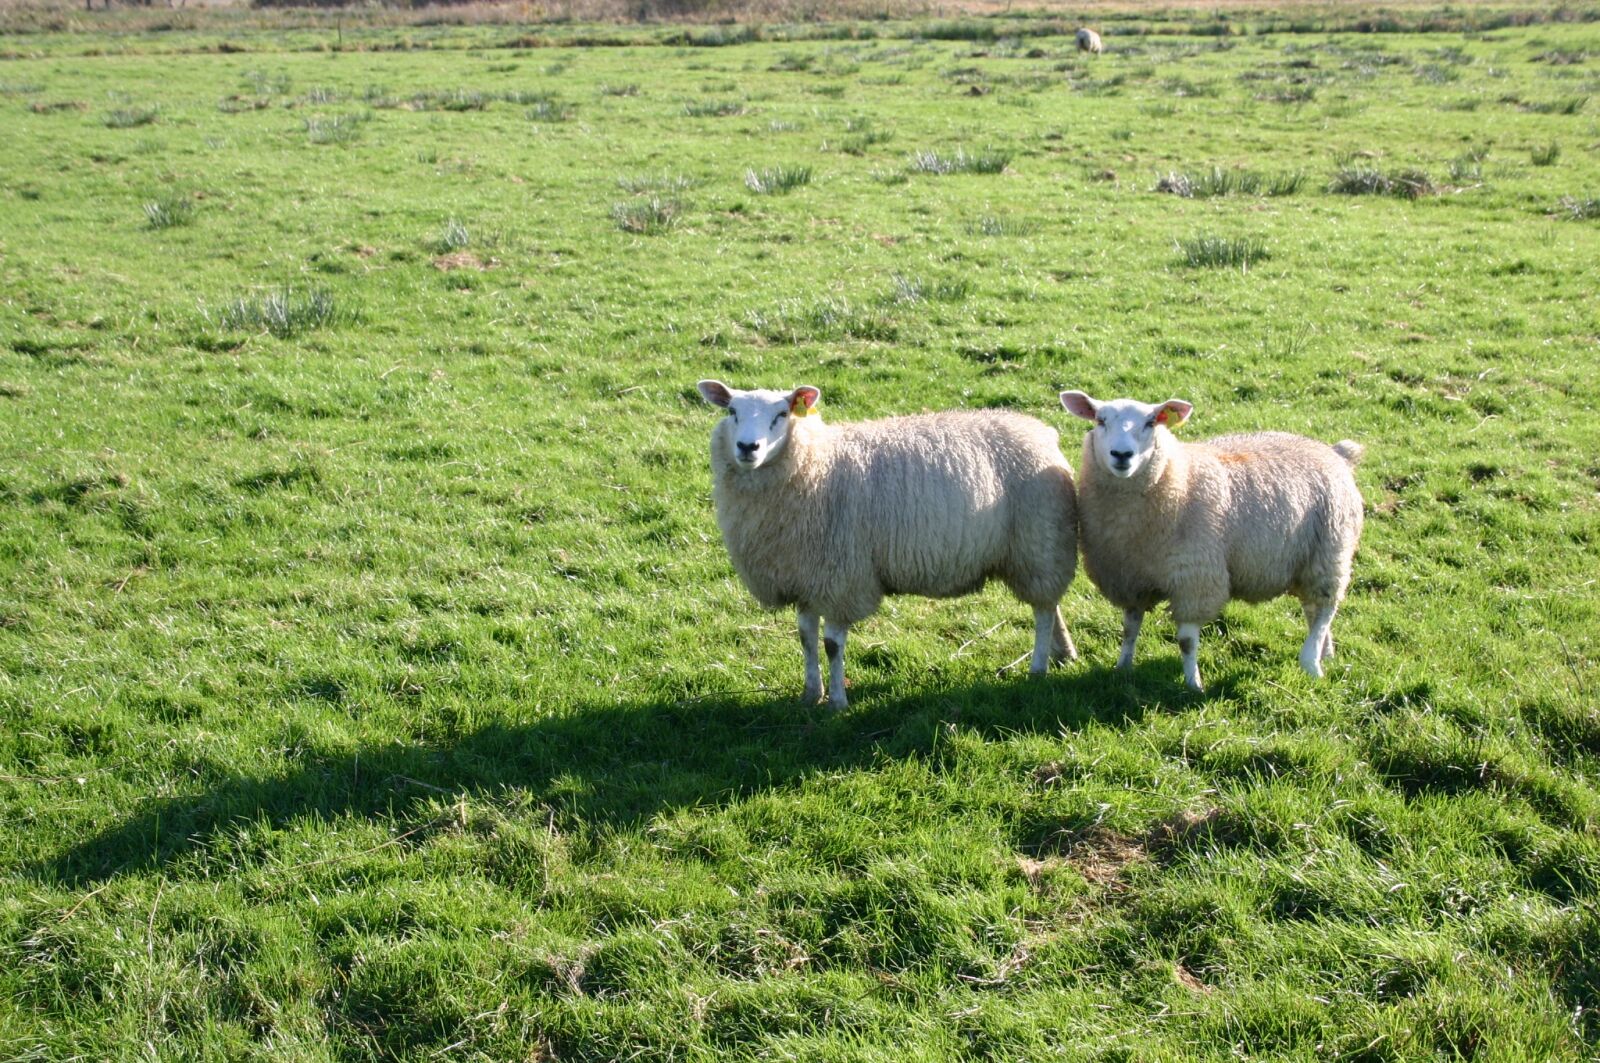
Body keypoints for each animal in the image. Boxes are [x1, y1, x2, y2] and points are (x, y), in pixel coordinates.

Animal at [697, 380, 1079, 709]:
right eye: (732, 411)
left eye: (781, 414)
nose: (748, 447)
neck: (818, 465)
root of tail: (1039, 432)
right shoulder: (805, 575)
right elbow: (806, 637)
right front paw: (810, 694)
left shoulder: (841, 578)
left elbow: (832, 645)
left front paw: (837, 702)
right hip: (1041, 547)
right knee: (1051, 604)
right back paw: (1064, 652)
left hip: (1039, 544)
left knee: (1044, 611)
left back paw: (1038, 667)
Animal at [1058, 391, 1364, 691]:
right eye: (1100, 420)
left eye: (1150, 422)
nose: (1122, 455)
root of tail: (1333, 452)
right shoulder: (1131, 578)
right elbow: (1130, 628)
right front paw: (1123, 668)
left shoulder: (1195, 578)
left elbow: (1186, 641)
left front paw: (1193, 684)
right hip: (1307, 558)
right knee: (1313, 610)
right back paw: (1326, 653)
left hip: (1331, 550)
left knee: (1325, 608)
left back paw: (1311, 662)